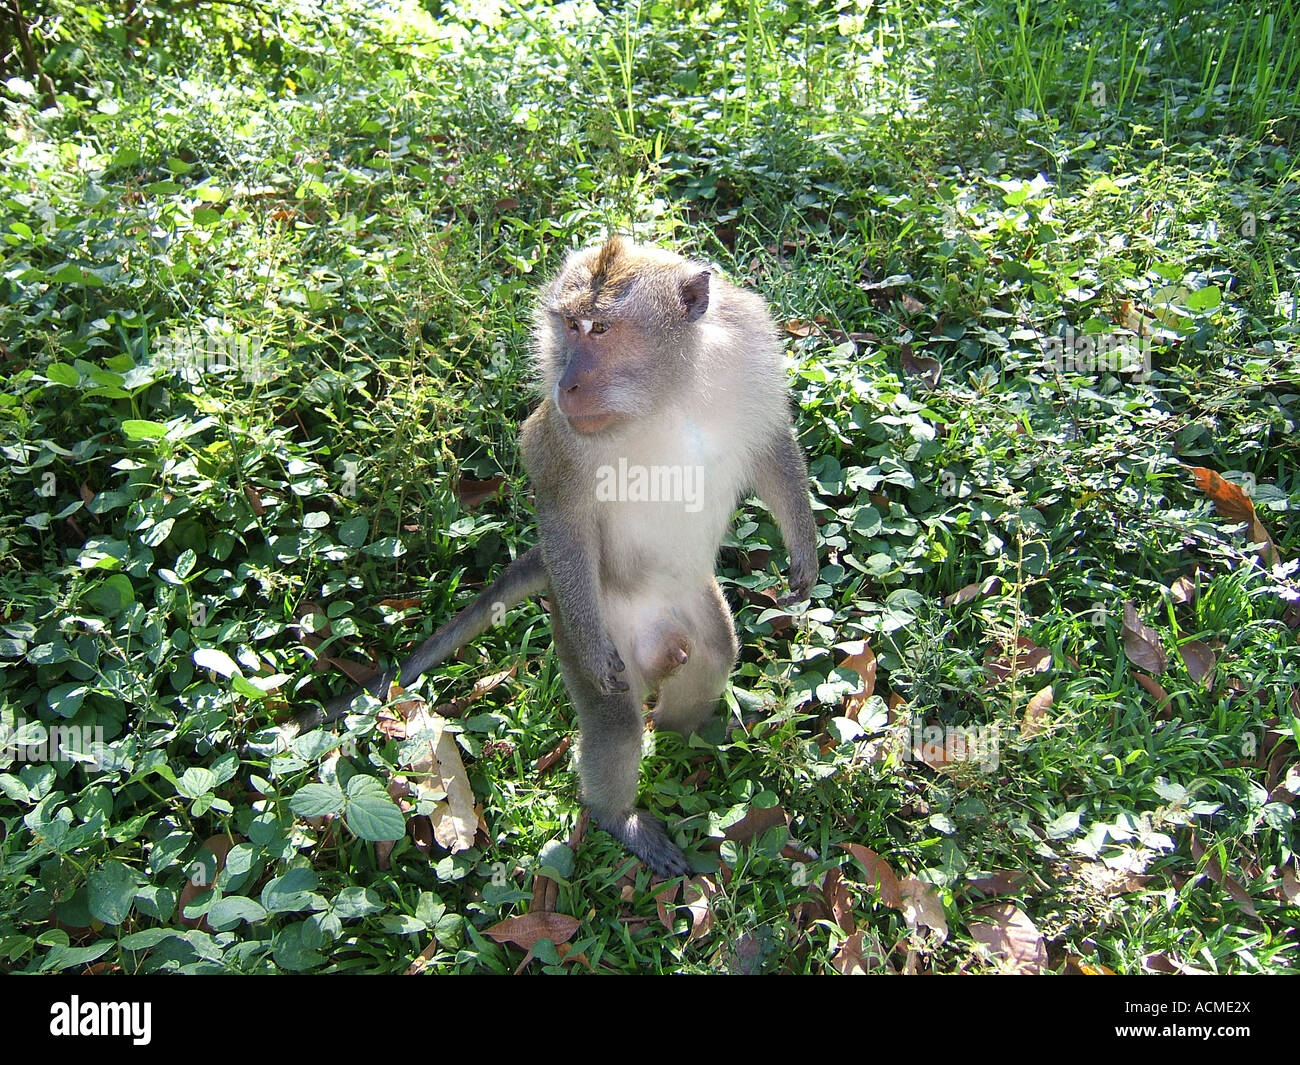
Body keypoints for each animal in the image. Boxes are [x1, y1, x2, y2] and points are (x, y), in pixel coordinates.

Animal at [299, 237, 816, 879]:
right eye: (570, 326)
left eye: (601, 328)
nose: (566, 383)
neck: (667, 394)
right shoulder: (565, 440)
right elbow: (563, 510)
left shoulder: (746, 352)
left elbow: (772, 444)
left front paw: (805, 550)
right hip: (578, 611)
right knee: (615, 721)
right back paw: (620, 816)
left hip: (688, 599)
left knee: (714, 654)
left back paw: (684, 736)